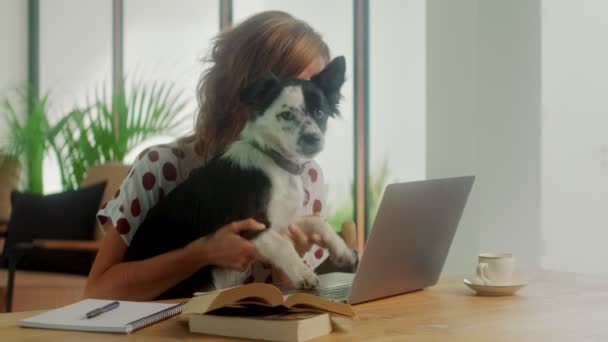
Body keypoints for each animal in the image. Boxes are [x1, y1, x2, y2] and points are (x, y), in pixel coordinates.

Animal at [122, 55, 356, 296]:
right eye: (286, 115)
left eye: (319, 113)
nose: (312, 139)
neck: (275, 161)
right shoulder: (251, 225)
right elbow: (283, 245)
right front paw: (303, 274)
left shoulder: (283, 222)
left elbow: (317, 222)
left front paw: (343, 251)